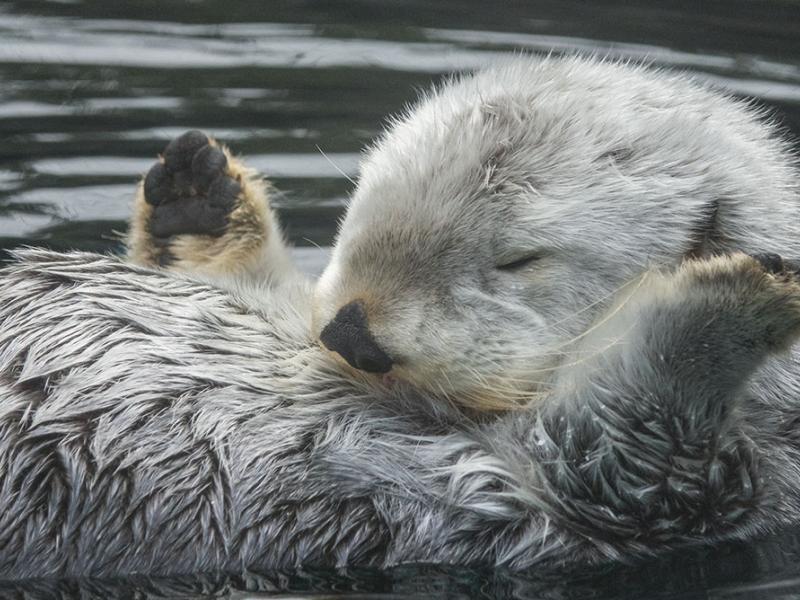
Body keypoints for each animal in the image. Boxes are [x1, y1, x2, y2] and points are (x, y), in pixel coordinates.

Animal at [1, 56, 800, 580]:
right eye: (363, 201)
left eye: (520, 260)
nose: (352, 334)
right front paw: (201, 204)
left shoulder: (641, 500)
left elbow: (637, 436)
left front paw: (737, 295)